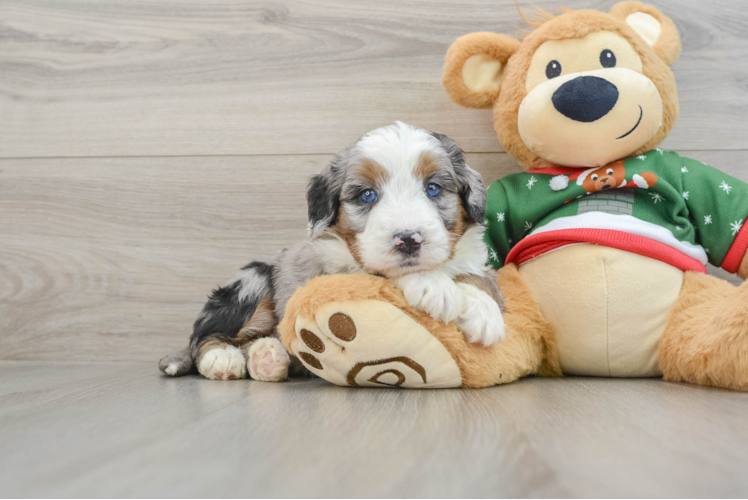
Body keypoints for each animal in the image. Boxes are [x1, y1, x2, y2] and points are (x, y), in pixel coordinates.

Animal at [160, 123, 506, 380]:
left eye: (433, 188)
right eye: (367, 195)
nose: (408, 240)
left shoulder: (476, 259)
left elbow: (480, 277)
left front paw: (484, 311)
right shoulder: (338, 270)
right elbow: (383, 273)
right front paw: (434, 286)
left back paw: (268, 357)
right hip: (254, 279)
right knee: (204, 335)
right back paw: (223, 358)